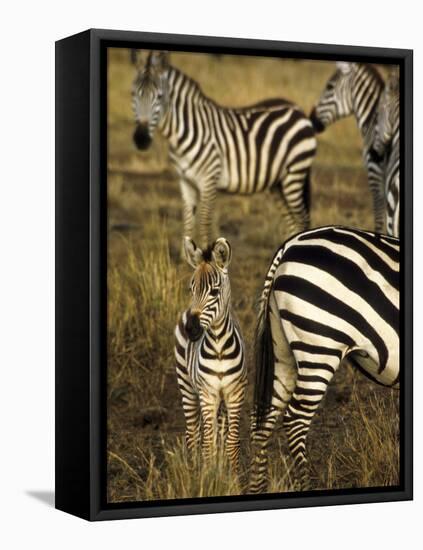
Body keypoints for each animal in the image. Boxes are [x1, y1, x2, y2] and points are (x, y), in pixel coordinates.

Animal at [132, 49, 318, 248]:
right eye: (133, 94)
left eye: (159, 97)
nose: (140, 139)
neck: (185, 132)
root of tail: (297, 109)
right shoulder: (186, 181)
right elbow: (188, 225)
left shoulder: (209, 179)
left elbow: (204, 223)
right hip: (277, 183)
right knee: (292, 221)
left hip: (294, 174)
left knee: (302, 219)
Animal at [176, 235, 248, 476]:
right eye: (191, 289)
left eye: (214, 292)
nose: (191, 329)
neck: (218, 347)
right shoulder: (207, 394)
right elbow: (207, 442)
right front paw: (207, 477)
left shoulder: (235, 393)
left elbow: (232, 440)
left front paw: (232, 477)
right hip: (187, 385)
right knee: (192, 432)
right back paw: (192, 469)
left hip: (221, 397)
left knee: (220, 431)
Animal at [250, 226, 400, 494]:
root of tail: (289, 245)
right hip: (320, 347)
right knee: (295, 420)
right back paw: (306, 485)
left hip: (283, 352)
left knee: (264, 418)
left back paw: (258, 489)